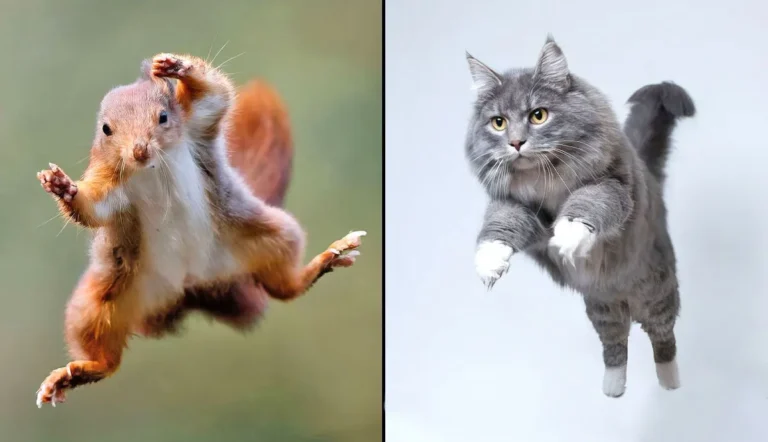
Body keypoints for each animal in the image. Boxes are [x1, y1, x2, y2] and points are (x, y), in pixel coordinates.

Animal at [34, 53, 366, 408]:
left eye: (164, 116)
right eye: (106, 130)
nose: (139, 150)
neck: (151, 168)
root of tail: (191, 288)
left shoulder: (198, 124)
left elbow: (216, 95)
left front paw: (177, 67)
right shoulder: (110, 183)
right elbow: (93, 209)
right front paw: (64, 188)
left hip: (271, 236)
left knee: (286, 288)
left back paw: (330, 257)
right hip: (99, 301)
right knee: (107, 360)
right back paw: (75, 373)